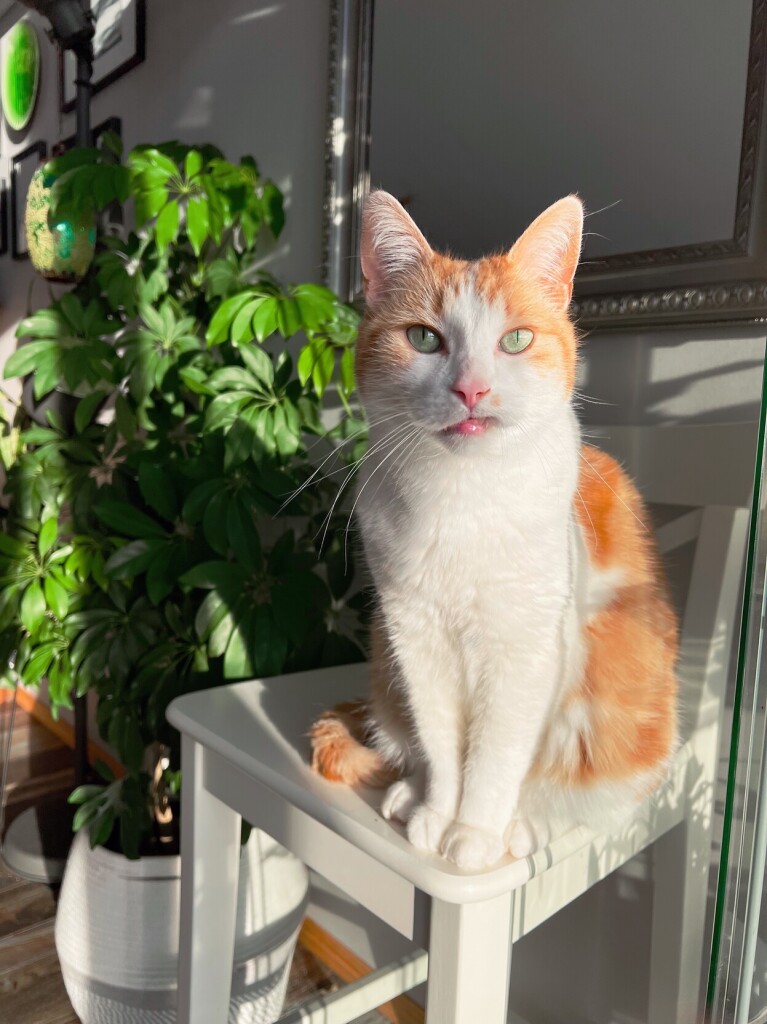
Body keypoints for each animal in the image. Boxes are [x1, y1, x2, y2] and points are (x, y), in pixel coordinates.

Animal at [309, 190, 675, 864]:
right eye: (423, 338)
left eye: (517, 339)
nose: (471, 389)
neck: (460, 497)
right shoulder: (414, 636)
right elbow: (442, 742)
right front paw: (438, 811)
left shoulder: (525, 650)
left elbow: (499, 753)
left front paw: (476, 832)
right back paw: (410, 795)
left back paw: (526, 825)